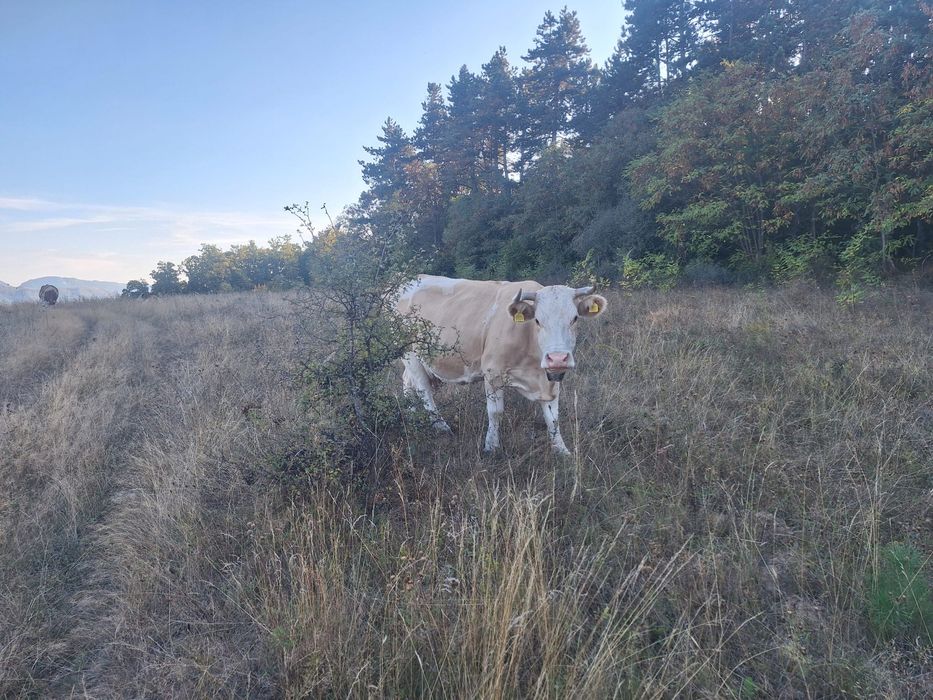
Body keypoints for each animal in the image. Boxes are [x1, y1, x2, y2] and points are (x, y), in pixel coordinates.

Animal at [397, 275, 607, 455]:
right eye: (538, 320)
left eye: (574, 318)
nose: (557, 358)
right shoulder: (492, 371)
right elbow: (495, 412)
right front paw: (491, 446)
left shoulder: (551, 378)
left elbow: (553, 417)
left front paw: (562, 450)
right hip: (410, 353)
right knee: (423, 390)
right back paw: (441, 427)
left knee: (407, 382)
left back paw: (411, 417)